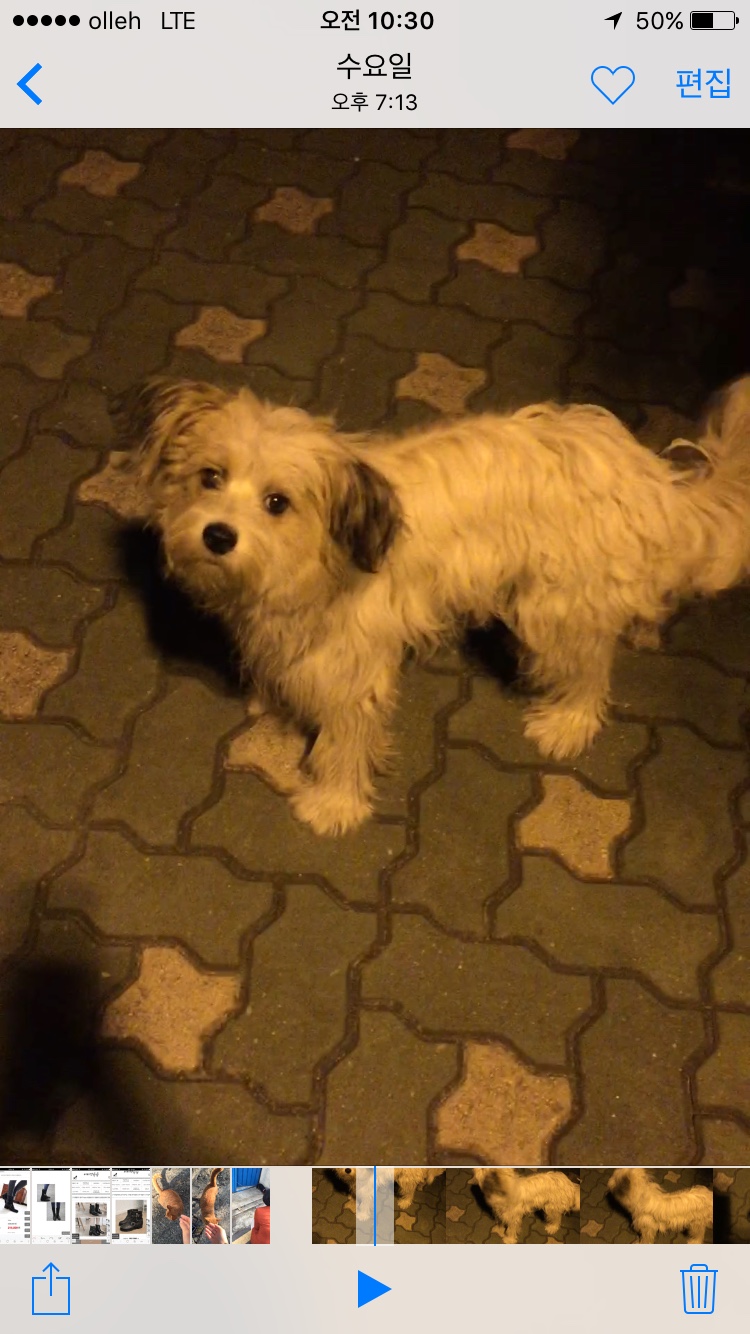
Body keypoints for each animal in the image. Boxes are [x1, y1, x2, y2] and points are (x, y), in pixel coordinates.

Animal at [114, 376, 750, 835]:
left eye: (277, 502)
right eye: (210, 476)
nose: (218, 536)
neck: (316, 559)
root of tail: (647, 477)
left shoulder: (356, 668)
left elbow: (347, 738)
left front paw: (334, 803)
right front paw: (272, 700)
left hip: (555, 606)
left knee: (590, 669)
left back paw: (567, 721)